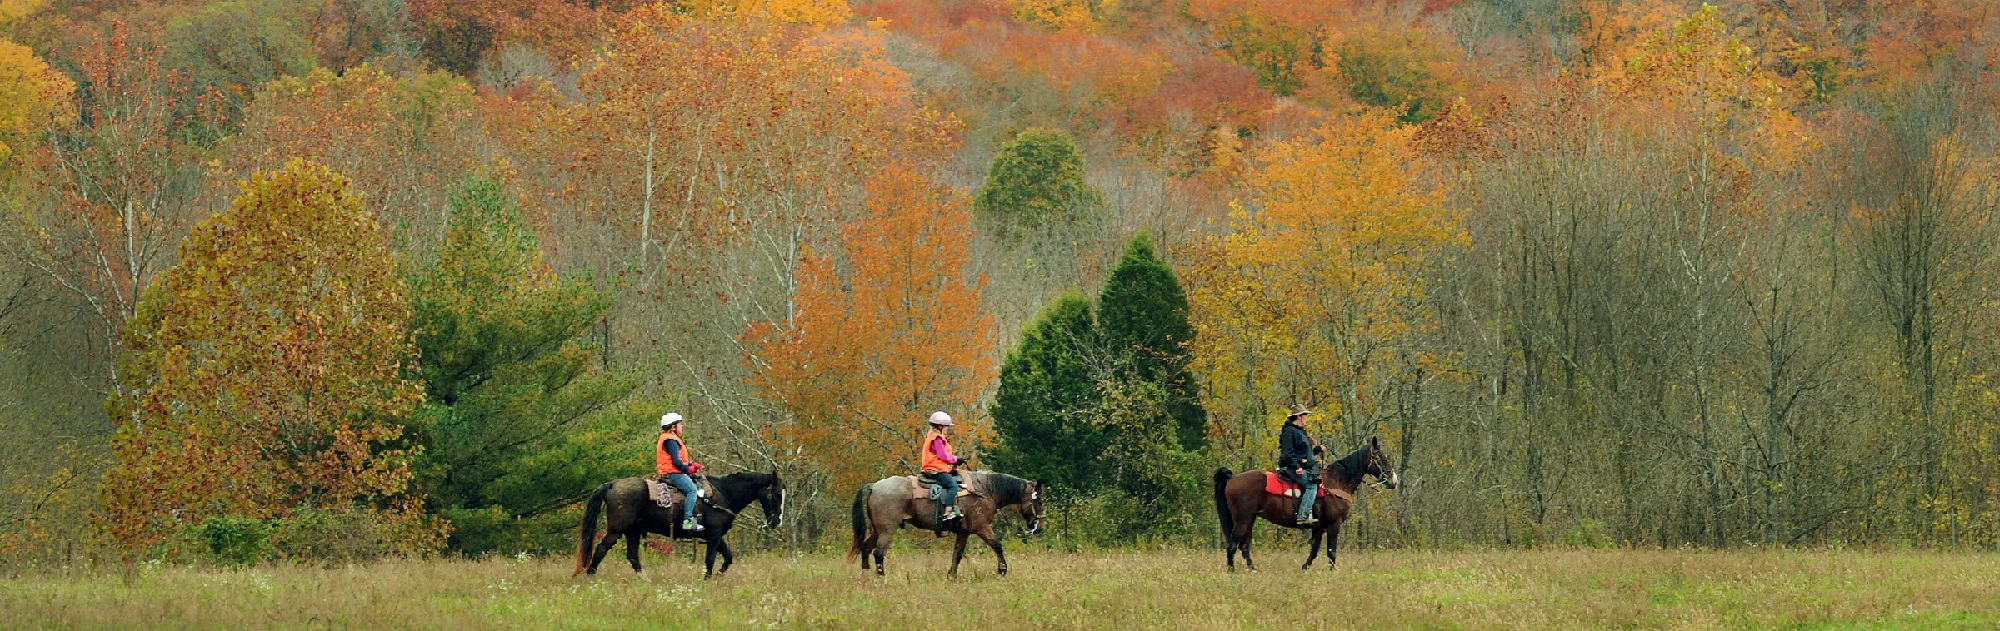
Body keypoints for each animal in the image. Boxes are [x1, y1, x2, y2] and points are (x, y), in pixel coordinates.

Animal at [572, 471, 780, 579]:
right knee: (601, 549)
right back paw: (590, 577)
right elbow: (710, 559)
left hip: (633, 531)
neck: (722, 494)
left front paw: (719, 574)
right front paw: (706, 580)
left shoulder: (715, 535)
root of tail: (613, 484)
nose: (777, 521)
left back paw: (645, 580)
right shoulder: (714, 534)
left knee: (632, 556)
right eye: (777, 493)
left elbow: (728, 557)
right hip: (616, 530)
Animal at [844, 471, 1048, 579]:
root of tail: (874, 486)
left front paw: (951, 576)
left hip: (877, 530)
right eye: (1039, 501)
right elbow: (997, 545)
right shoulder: (982, 527)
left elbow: (957, 554)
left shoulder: (964, 532)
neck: (986, 490)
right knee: (878, 553)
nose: (1039, 526)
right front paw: (1002, 570)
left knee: (865, 548)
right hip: (887, 530)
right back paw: (881, 577)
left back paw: (866, 576)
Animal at [1208, 435, 1400, 575]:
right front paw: (1333, 571)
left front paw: (1304, 568)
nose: (1393, 480)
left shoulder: (1318, 527)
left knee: (1245, 547)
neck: (1337, 481)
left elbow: (1314, 550)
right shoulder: (1334, 524)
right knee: (1233, 545)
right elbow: (1331, 551)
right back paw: (1232, 571)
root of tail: (1233, 477)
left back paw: (1253, 570)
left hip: (1250, 520)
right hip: (1242, 519)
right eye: (1381, 457)